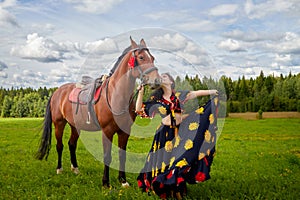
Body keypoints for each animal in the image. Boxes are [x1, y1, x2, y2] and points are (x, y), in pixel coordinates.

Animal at [36, 37, 161, 188]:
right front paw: (106, 183)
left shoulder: (124, 132)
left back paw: (75, 169)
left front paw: (123, 180)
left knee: (72, 144)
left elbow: (122, 155)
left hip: (75, 126)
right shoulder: (107, 131)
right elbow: (107, 156)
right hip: (59, 124)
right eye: (141, 57)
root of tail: (57, 92)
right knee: (59, 146)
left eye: (153, 58)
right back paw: (59, 169)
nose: (157, 80)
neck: (116, 95)